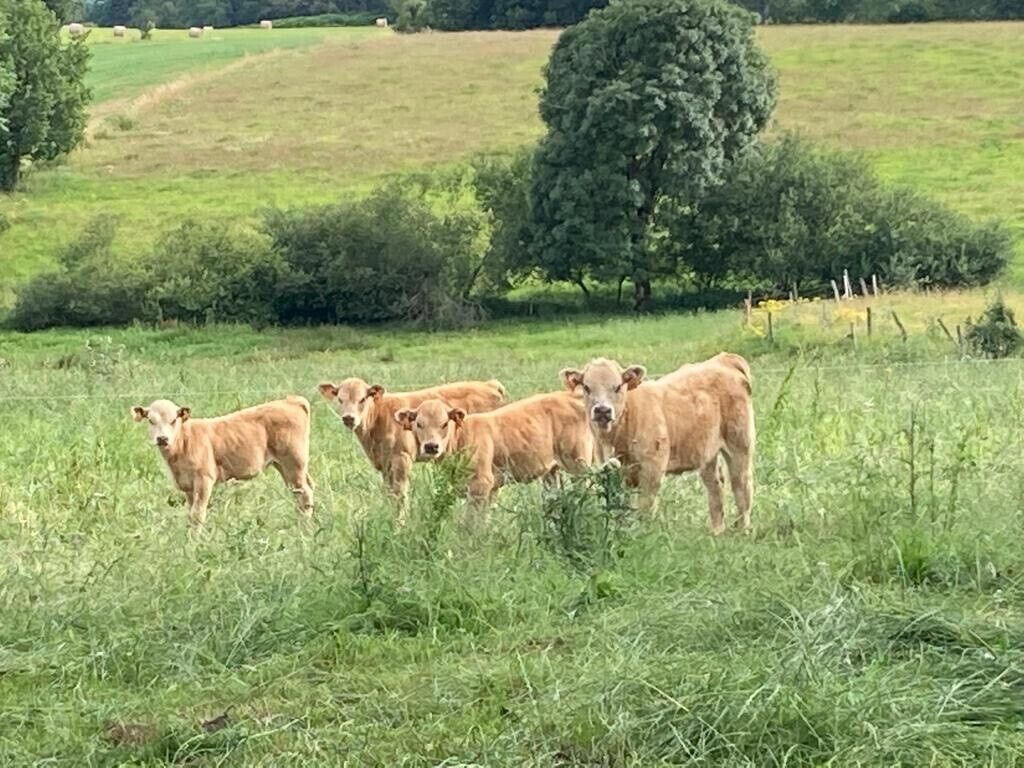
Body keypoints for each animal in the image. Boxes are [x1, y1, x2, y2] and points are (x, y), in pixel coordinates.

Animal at [131, 396, 314, 531]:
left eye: (174, 420)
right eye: (150, 420)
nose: (162, 438)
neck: (183, 442)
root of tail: (291, 400)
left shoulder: (204, 479)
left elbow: (197, 514)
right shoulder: (188, 486)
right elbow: (190, 514)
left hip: (294, 462)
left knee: (304, 493)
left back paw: (304, 528)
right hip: (285, 465)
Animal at [318, 378, 507, 520]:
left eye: (362, 399)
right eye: (340, 399)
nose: (348, 418)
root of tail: (489, 384)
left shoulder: (402, 458)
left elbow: (400, 495)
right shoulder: (385, 465)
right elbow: (390, 494)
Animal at [394, 391, 593, 522]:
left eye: (444, 423)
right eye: (419, 424)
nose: (431, 446)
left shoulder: (480, 485)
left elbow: (471, 525)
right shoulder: (490, 489)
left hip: (579, 464)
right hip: (551, 471)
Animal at [560, 353, 755, 533]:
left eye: (618, 386)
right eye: (586, 387)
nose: (602, 410)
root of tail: (724, 359)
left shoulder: (652, 469)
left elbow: (645, 508)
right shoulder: (612, 472)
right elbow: (620, 508)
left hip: (739, 443)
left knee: (741, 485)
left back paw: (742, 530)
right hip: (706, 452)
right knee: (715, 485)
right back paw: (717, 531)